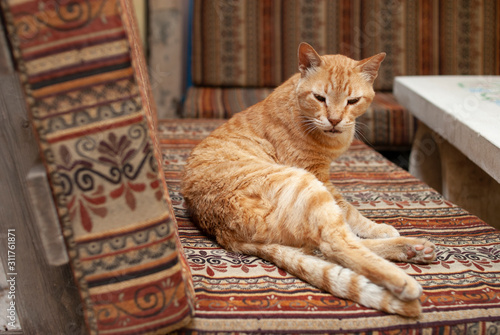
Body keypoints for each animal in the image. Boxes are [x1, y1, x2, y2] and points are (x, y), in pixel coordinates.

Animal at [182, 42, 436, 318]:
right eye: (320, 98)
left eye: (352, 101)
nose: (335, 120)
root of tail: (222, 231)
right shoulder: (317, 175)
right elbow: (351, 211)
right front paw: (376, 227)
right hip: (308, 187)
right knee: (338, 245)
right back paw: (404, 280)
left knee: (337, 246)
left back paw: (413, 249)